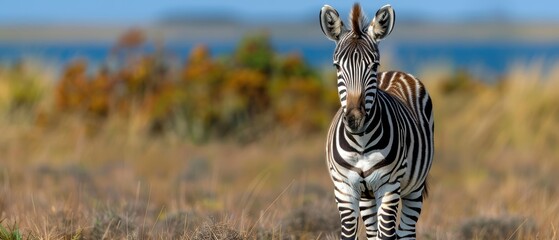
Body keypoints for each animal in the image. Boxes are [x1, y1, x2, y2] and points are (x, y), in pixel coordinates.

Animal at [322, 2, 436, 239]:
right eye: (337, 66)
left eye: (374, 65)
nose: (355, 119)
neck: (360, 144)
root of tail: (397, 72)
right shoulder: (344, 189)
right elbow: (350, 233)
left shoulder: (390, 187)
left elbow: (387, 233)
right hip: (367, 196)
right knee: (373, 232)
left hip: (415, 188)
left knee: (405, 230)